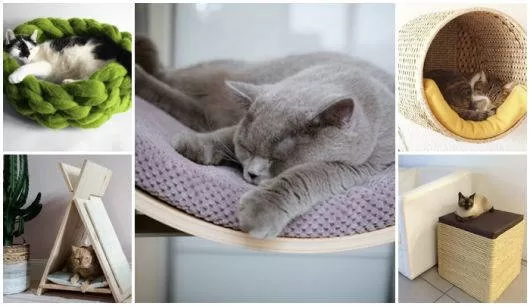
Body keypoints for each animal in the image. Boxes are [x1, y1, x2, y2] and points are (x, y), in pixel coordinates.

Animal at [136, 35, 392, 239]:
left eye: (277, 159)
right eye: (246, 148)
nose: (251, 173)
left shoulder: (365, 164)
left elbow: (305, 175)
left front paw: (259, 211)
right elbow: (228, 133)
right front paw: (194, 143)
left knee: (186, 103)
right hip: (212, 78)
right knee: (170, 79)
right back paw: (139, 62)